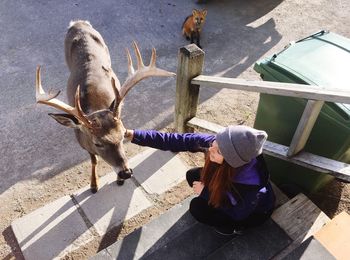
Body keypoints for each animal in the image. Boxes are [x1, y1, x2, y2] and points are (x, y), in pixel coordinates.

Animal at [35, 20, 175, 193]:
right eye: (97, 143)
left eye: (122, 136)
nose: (126, 173)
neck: (95, 107)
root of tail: (79, 23)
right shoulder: (84, 145)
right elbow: (94, 161)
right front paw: (93, 185)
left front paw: (118, 180)